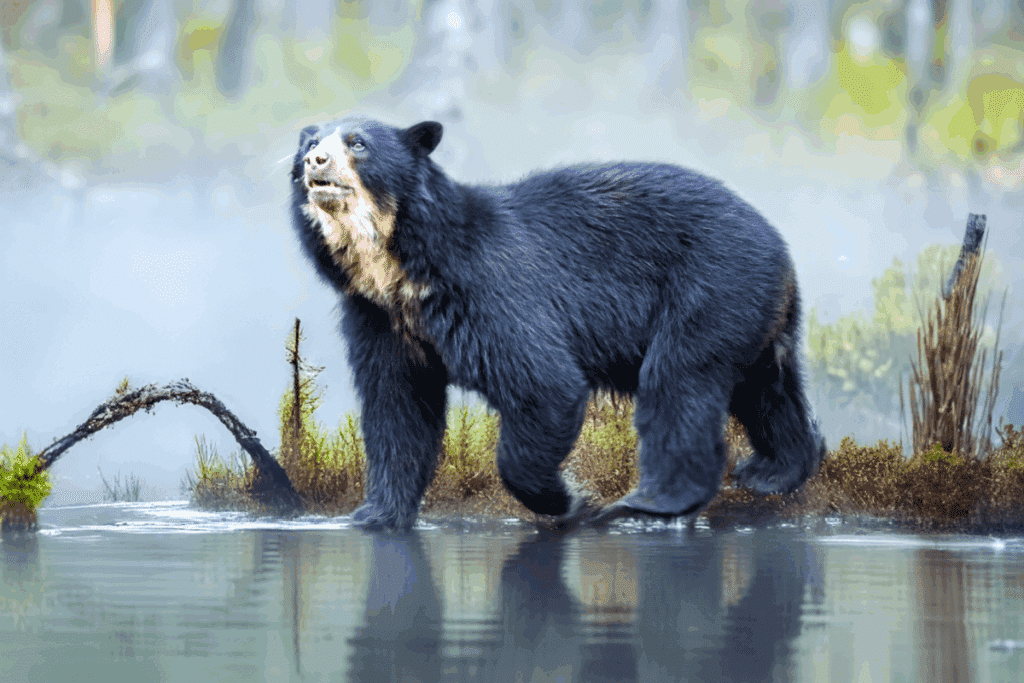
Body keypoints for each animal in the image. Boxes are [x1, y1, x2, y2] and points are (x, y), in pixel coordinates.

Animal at [289, 116, 826, 530]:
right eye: (310, 142)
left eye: (357, 142)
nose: (315, 161)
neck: (396, 265)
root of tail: (777, 242)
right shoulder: (379, 317)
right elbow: (397, 406)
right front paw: (373, 514)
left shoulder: (487, 288)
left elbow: (542, 383)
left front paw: (569, 497)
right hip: (749, 311)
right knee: (767, 389)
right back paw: (775, 470)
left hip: (709, 286)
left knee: (679, 382)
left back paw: (649, 501)